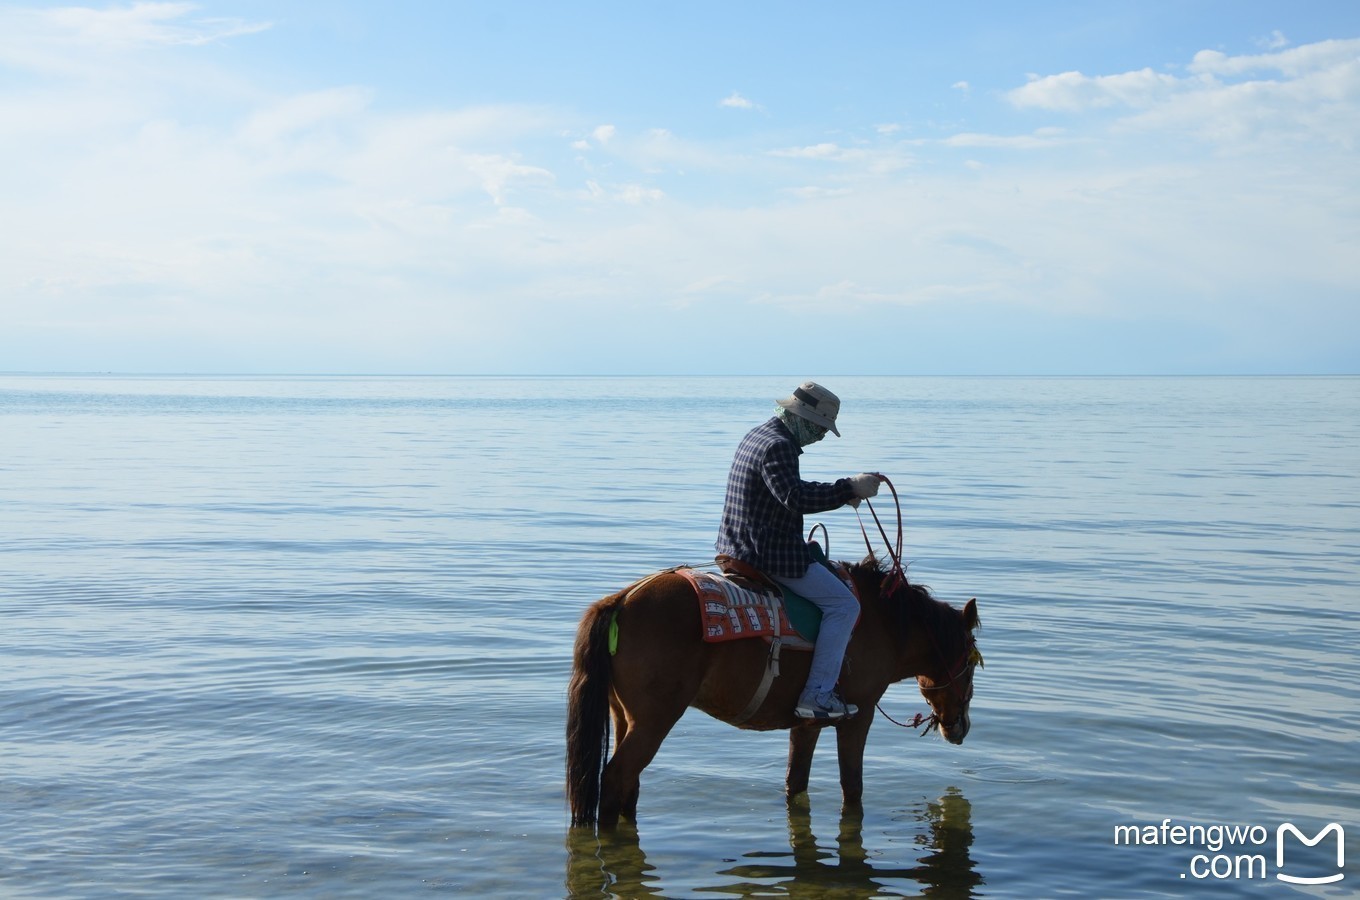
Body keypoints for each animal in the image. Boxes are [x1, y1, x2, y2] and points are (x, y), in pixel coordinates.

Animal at [563, 560, 979, 837]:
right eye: (971, 663)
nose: (959, 726)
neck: (885, 622)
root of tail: (622, 599)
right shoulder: (857, 718)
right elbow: (852, 788)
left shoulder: (808, 724)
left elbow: (796, 781)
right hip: (653, 721)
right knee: (615, 778)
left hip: (623, 717)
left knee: (627, 784)